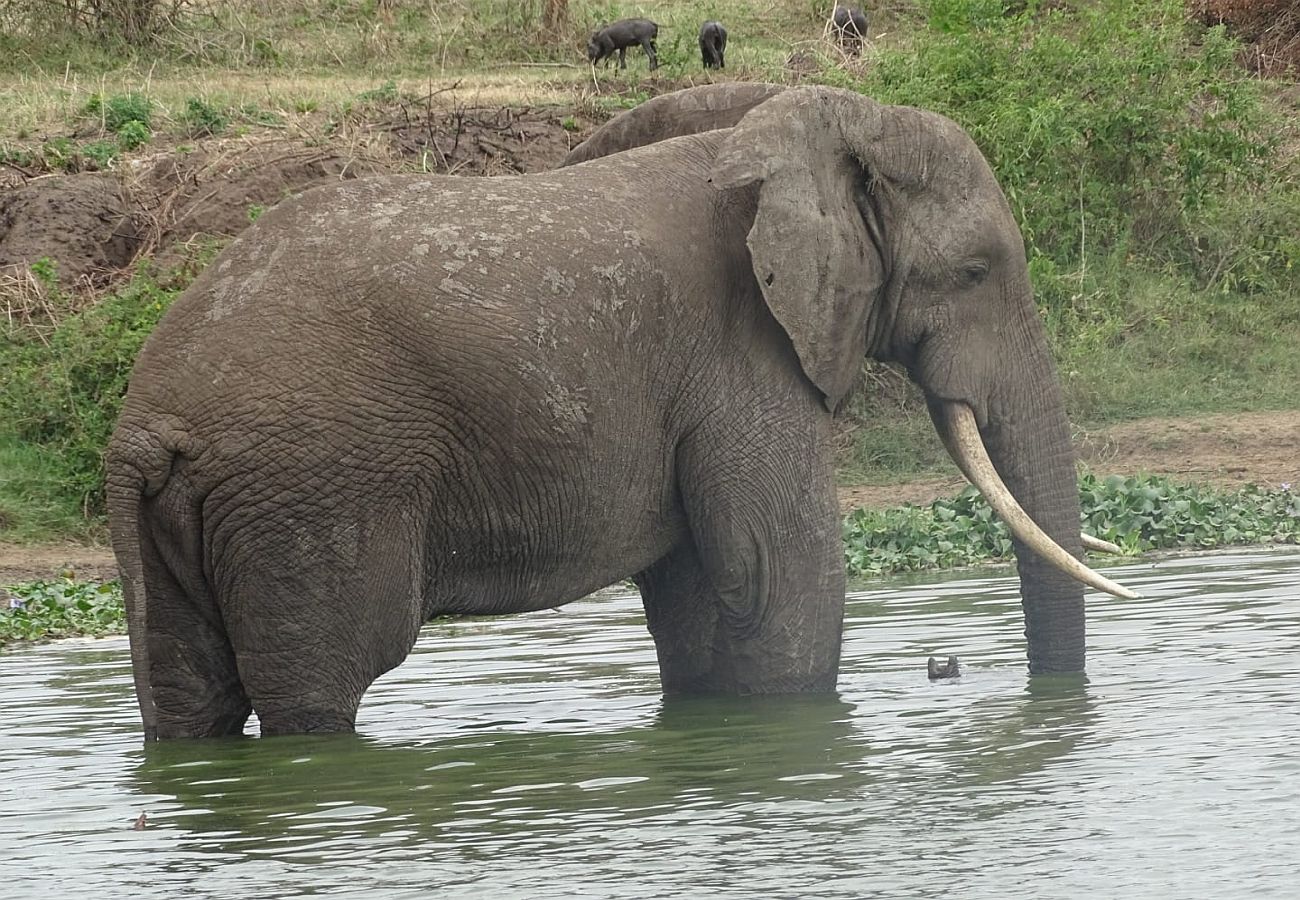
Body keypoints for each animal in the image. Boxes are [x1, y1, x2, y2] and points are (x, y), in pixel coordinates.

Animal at [106, 85, 1133, 738]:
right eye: (976, 272)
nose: (966, 676)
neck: (797, 122)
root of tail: (147, 421)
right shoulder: (742, 352)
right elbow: (777, 578)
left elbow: (698, 600)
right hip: (313, 496)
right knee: (318, 692)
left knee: (190, 697)